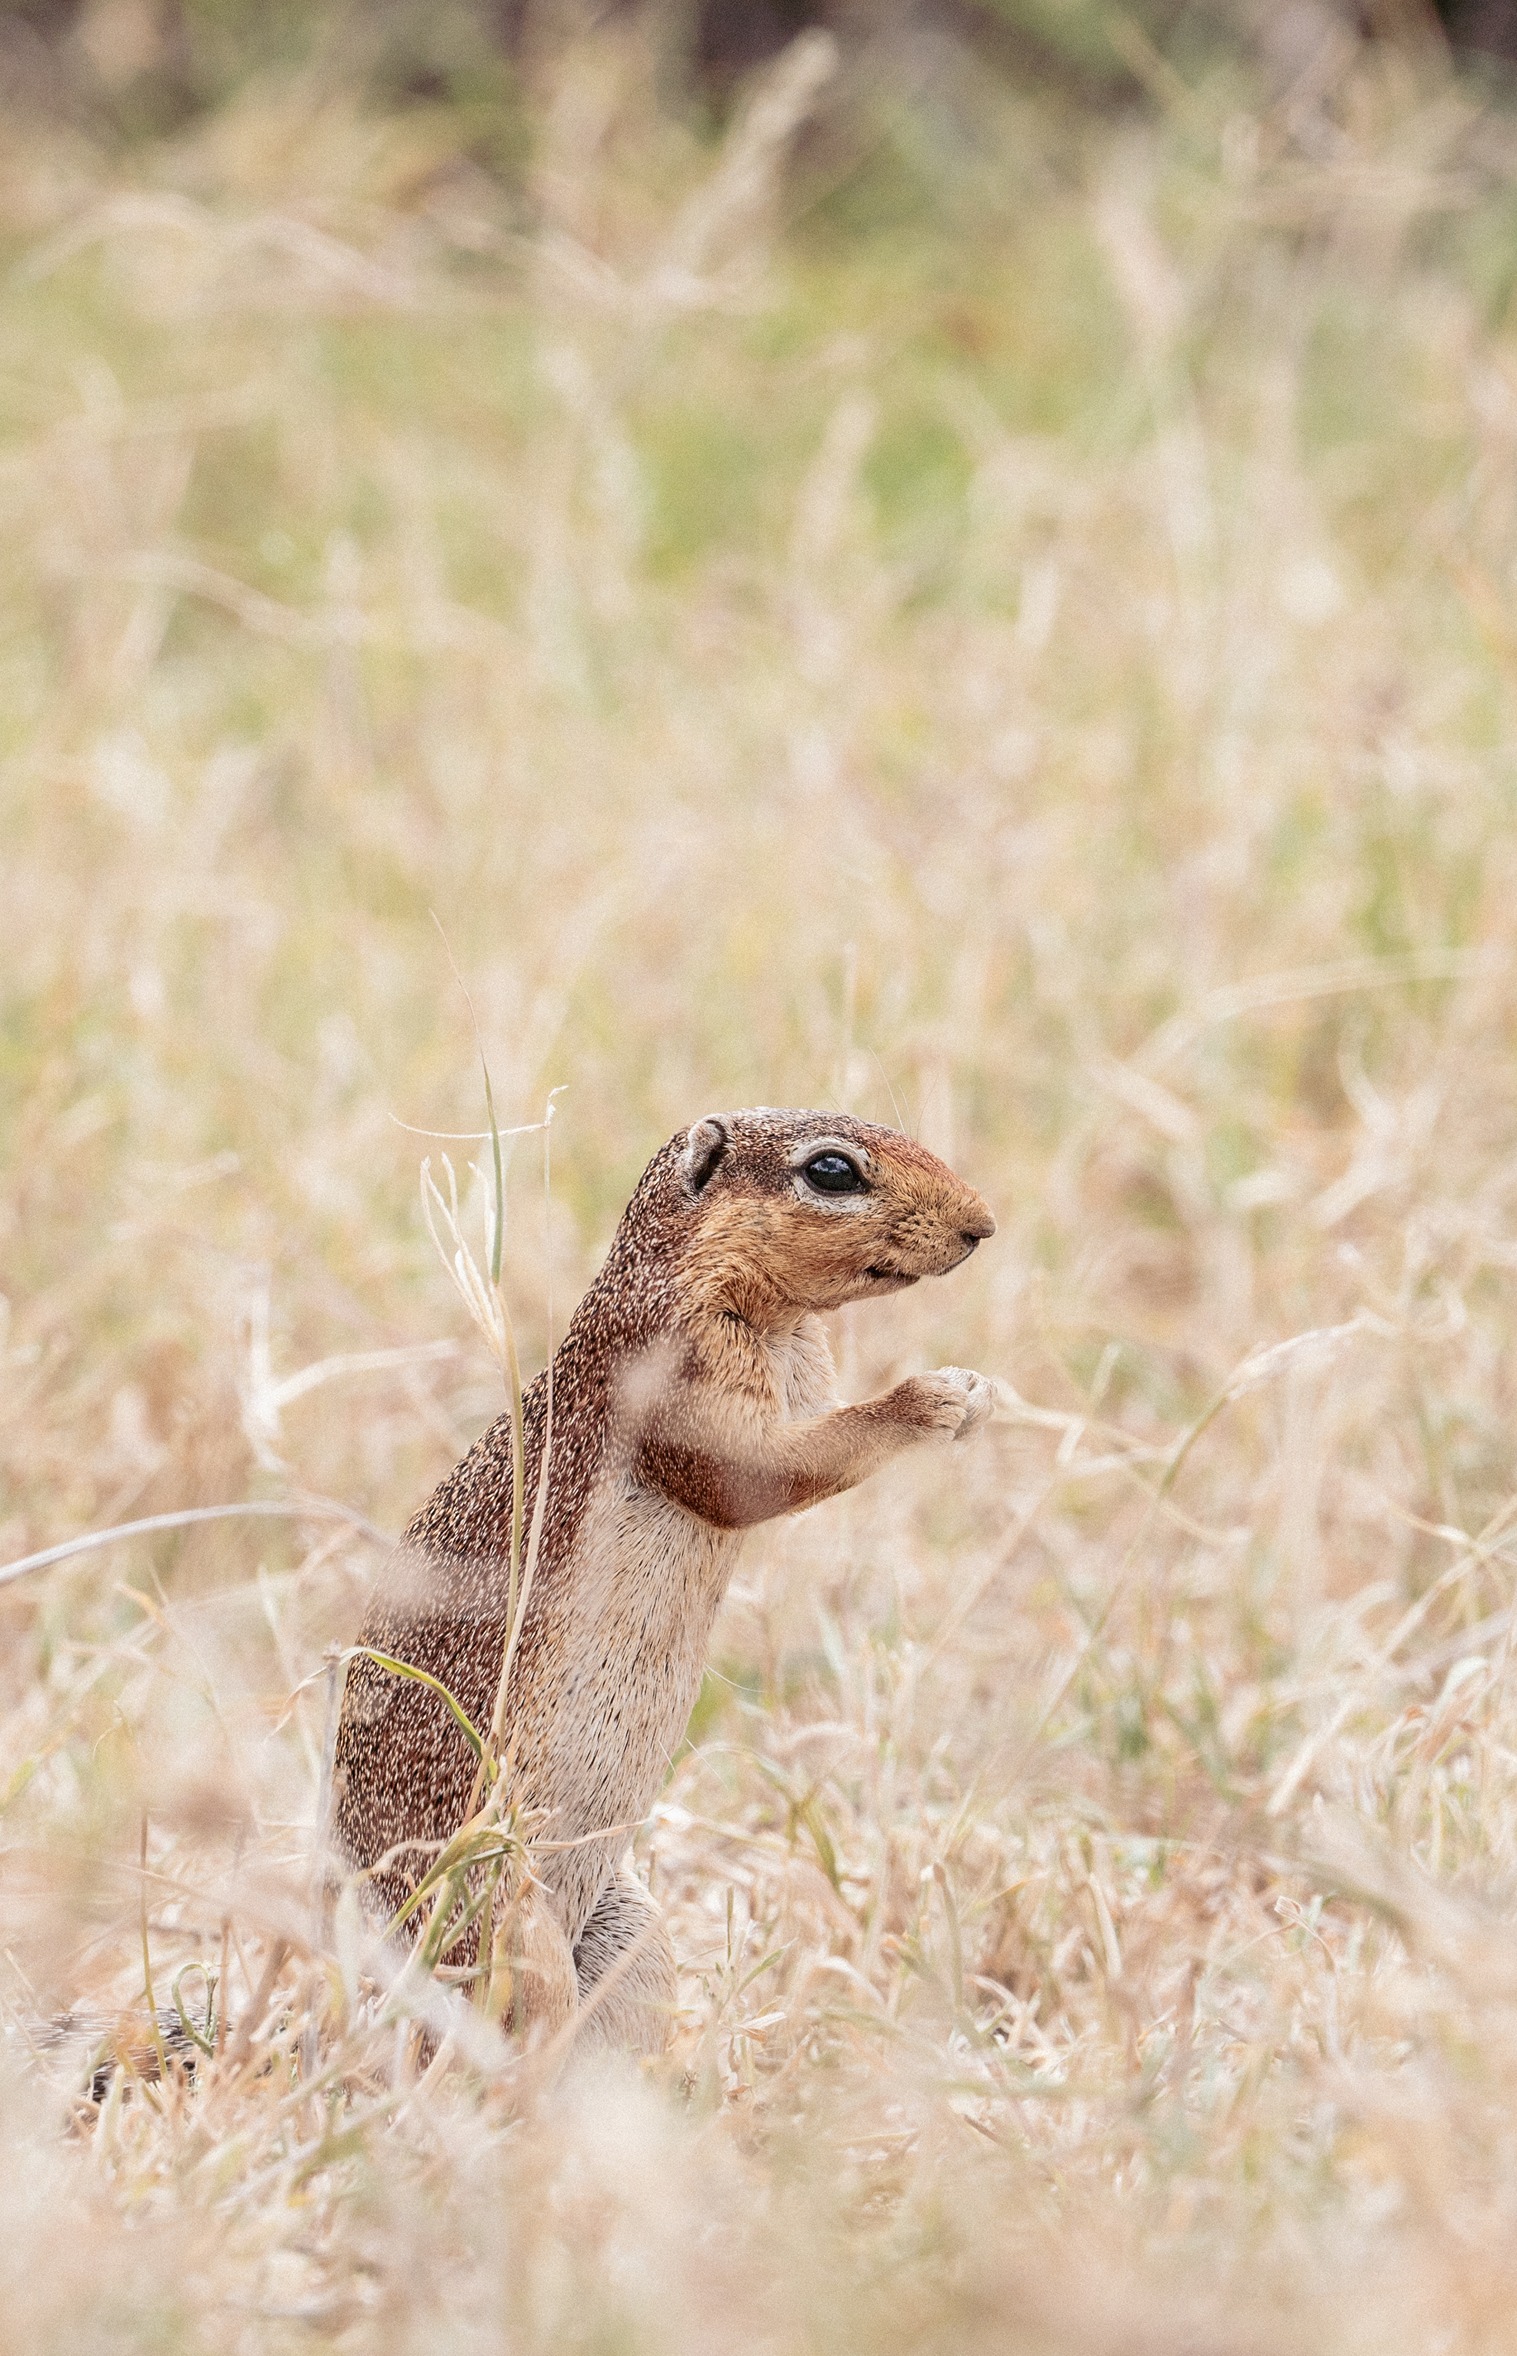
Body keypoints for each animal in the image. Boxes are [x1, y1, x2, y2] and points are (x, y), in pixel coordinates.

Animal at [332, 1108, 996, 2055]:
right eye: (831, 1171)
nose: (983, 1225)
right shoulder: (687, 1366)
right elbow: (758, 1470)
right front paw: (934, 1397)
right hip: (503, 1914)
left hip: (628, 1925)